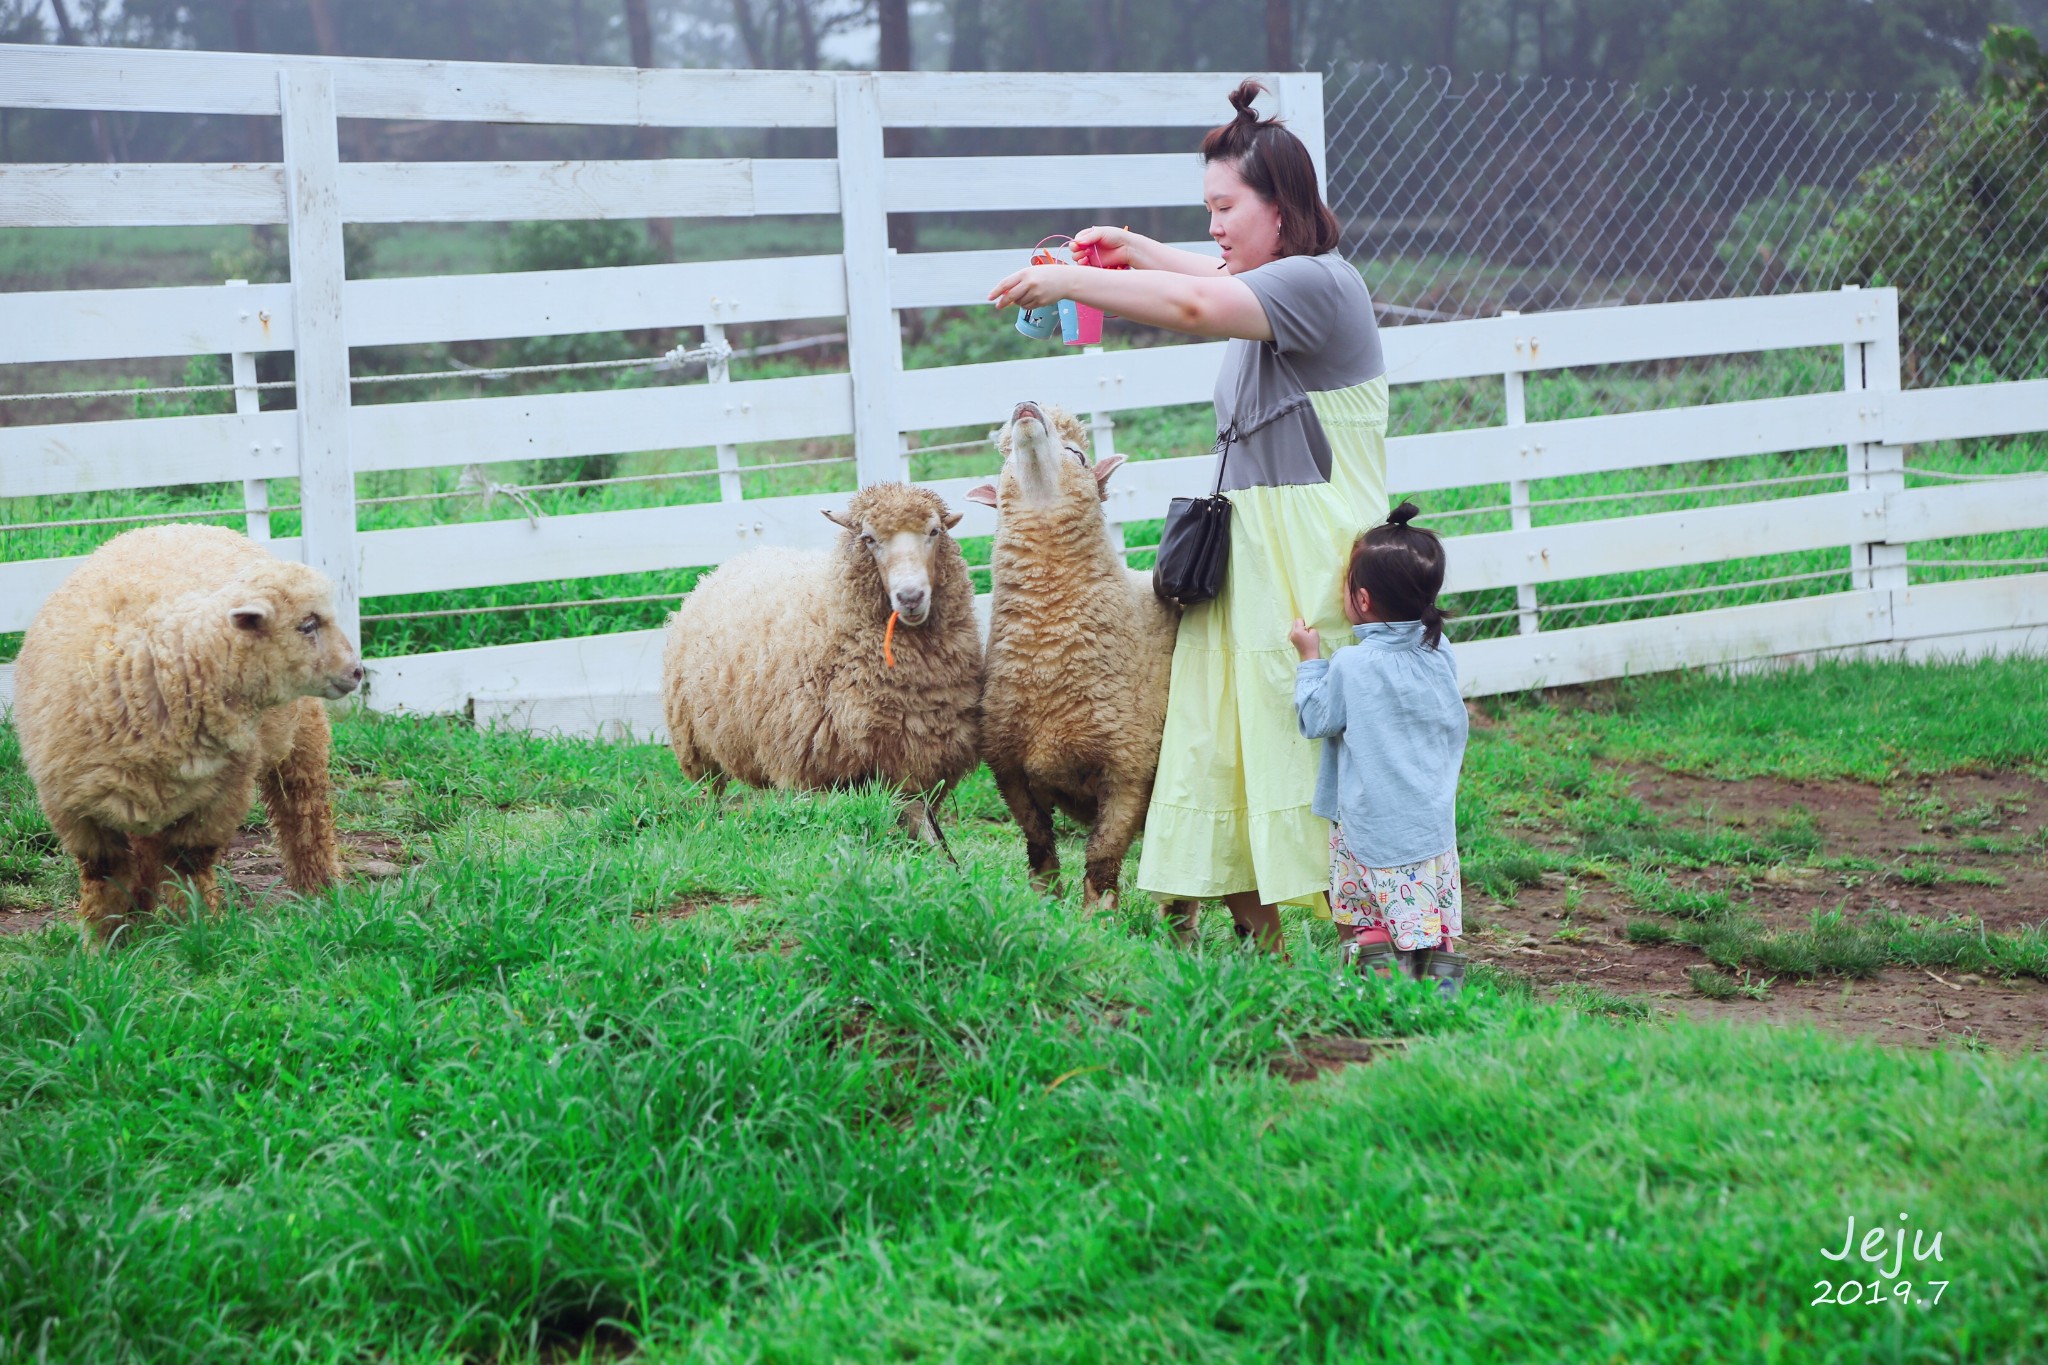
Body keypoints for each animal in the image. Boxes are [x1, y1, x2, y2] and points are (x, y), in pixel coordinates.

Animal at [12, 527, 368, 945]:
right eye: (307, 625)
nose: (358, 671)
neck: (171, 664)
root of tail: (181, 526)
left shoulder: (220, 797)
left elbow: (188, 863)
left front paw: (198, 928)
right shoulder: (73, 808)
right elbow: (103, 874)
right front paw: (103, 943)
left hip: (302, 737)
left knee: (305, 814)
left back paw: (320, 892)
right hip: (144, 791)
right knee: (147, 849)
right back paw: (141, 913)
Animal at [970, 405, 1196, 916]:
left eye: (1078, 455)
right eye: (1006, 460)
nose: (1026, 408)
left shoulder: (1129, 770)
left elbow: (1102, 856)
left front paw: (1098, 918)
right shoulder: (1009, 769)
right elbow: (1039, 845)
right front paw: (1044, 907)